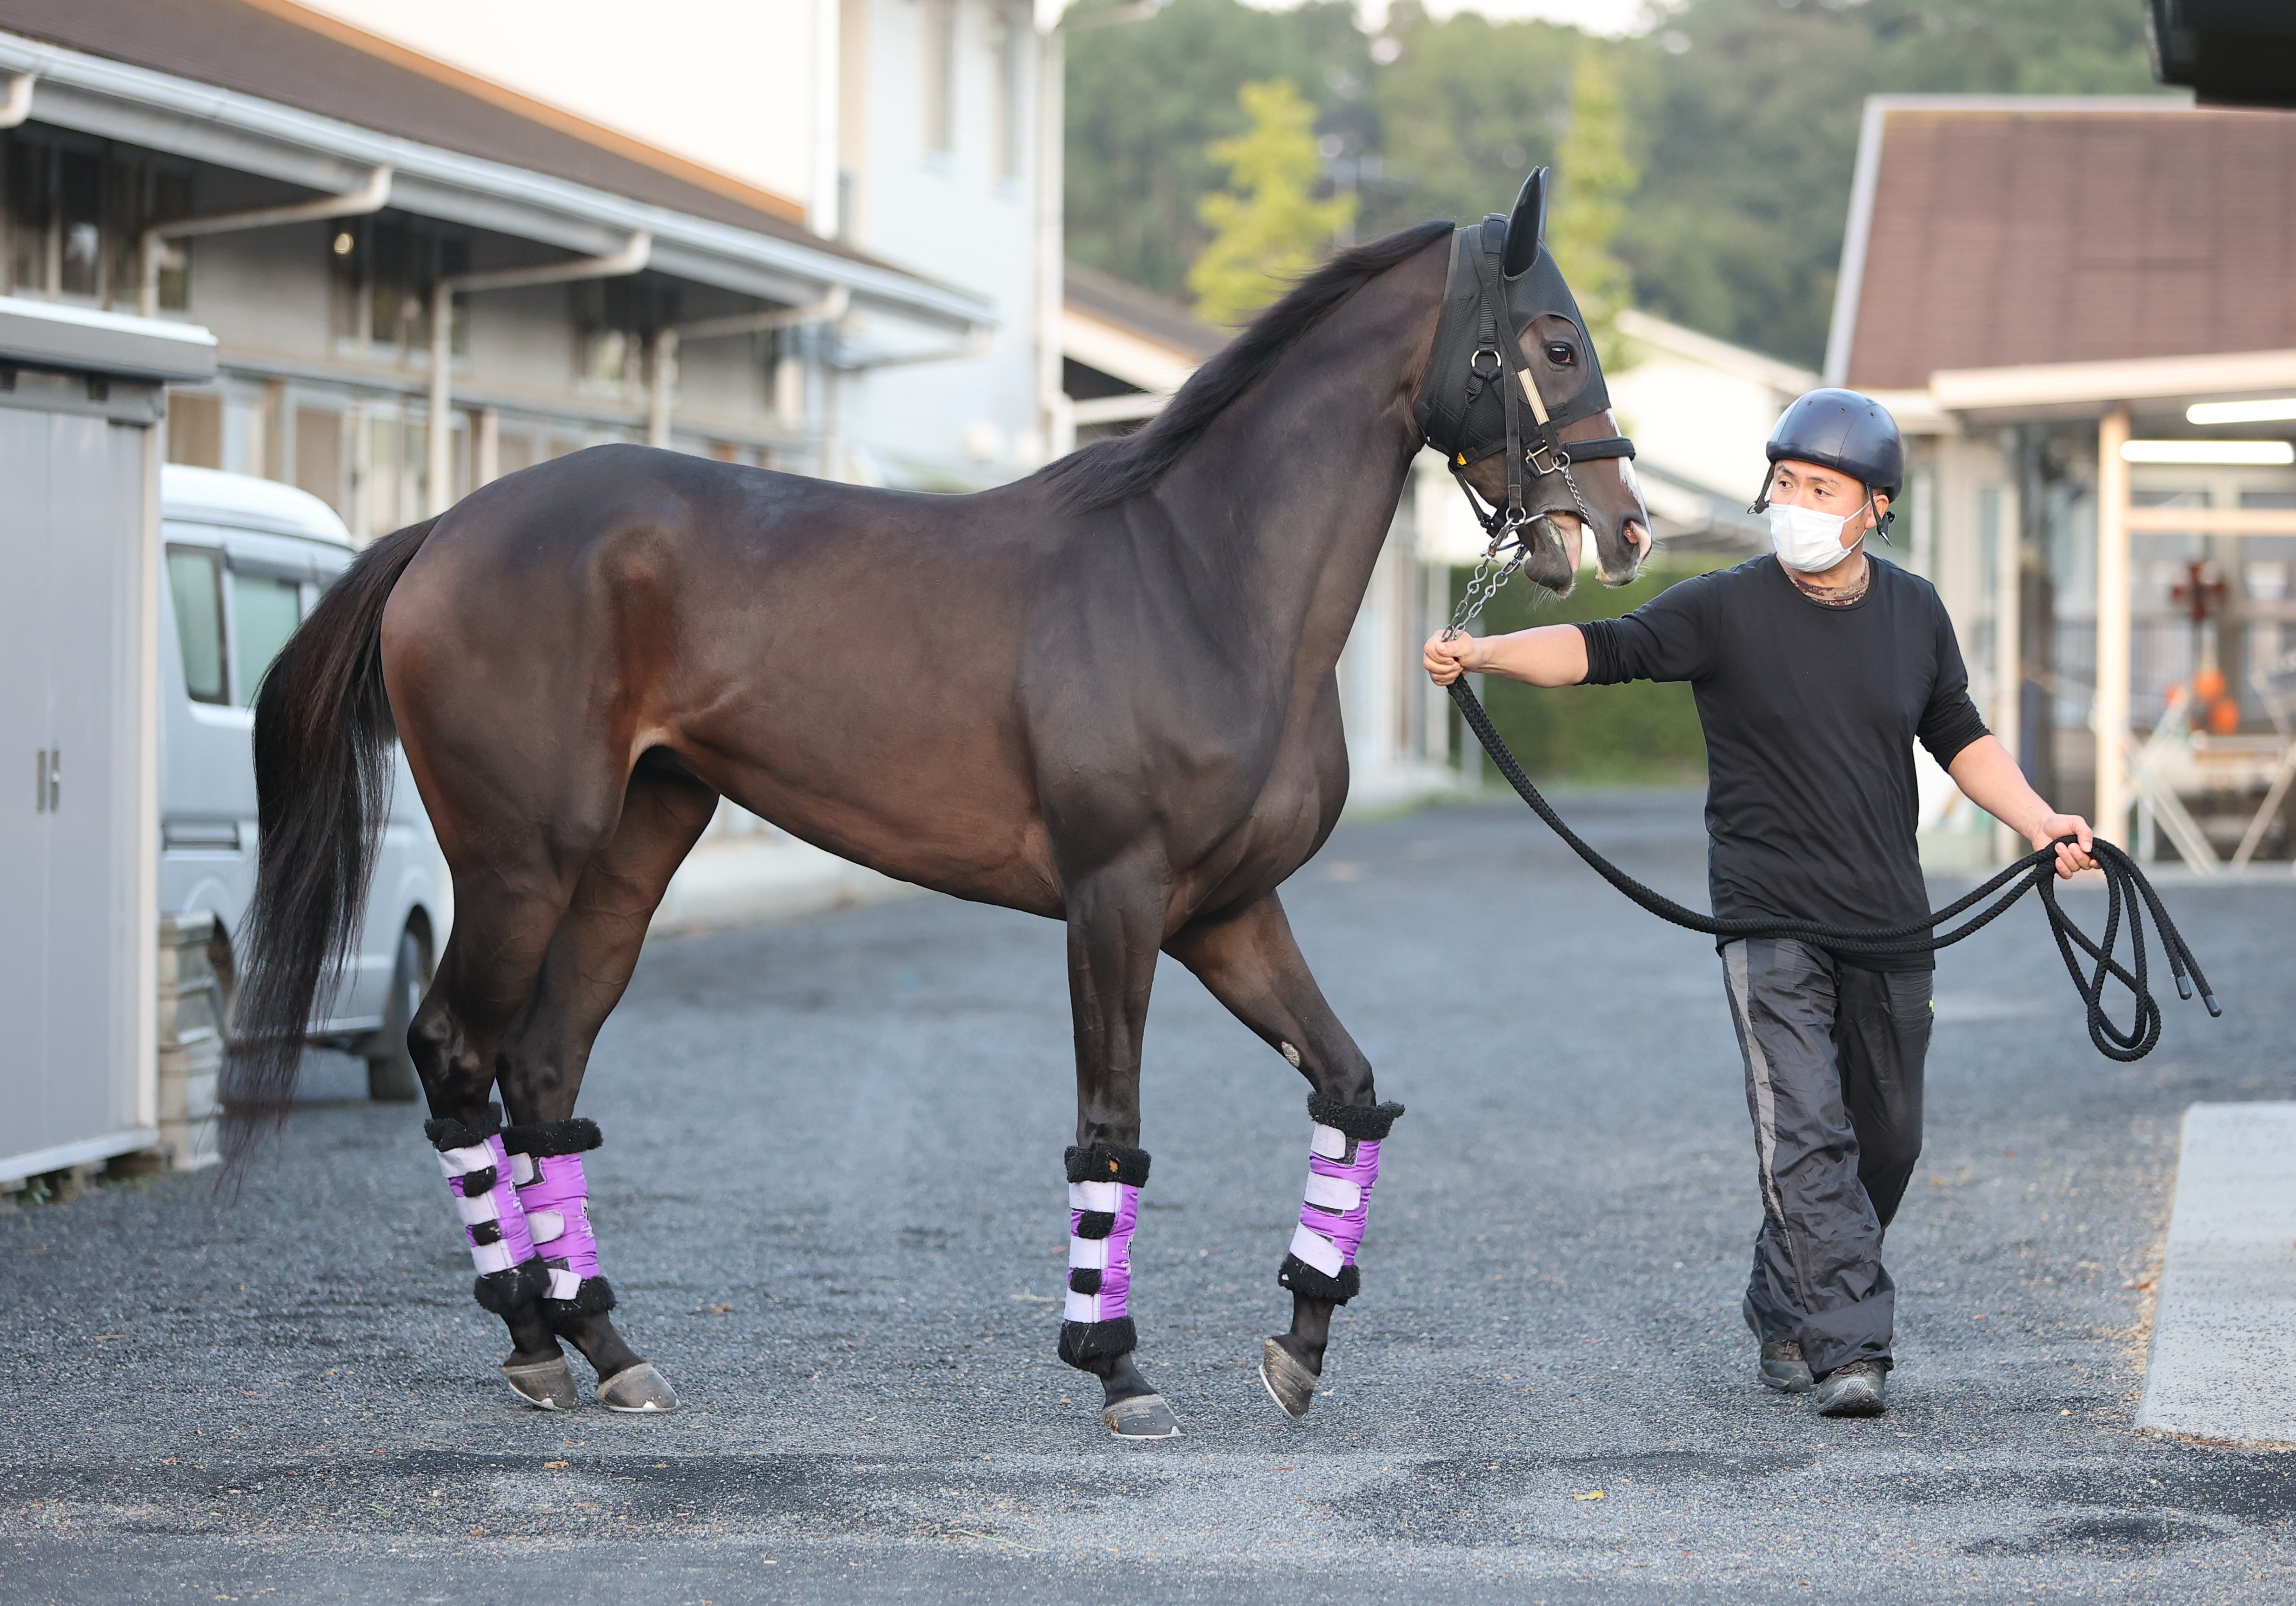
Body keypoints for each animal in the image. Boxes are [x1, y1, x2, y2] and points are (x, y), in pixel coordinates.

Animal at [228, 172, 1653, 1432]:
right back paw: (531, 1339)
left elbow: (1349, 1092)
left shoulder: (1228, 914)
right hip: (522, 860)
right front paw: (1116, 1369)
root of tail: (444, 529)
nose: (1627, 526)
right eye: (1555, 339)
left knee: (540, 1068)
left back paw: (612, 1348)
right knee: (454, 1054)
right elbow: (1110, 1131)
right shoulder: (1118, 902)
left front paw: (1299, 1343)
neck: (1198, 576)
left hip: (633, 855)